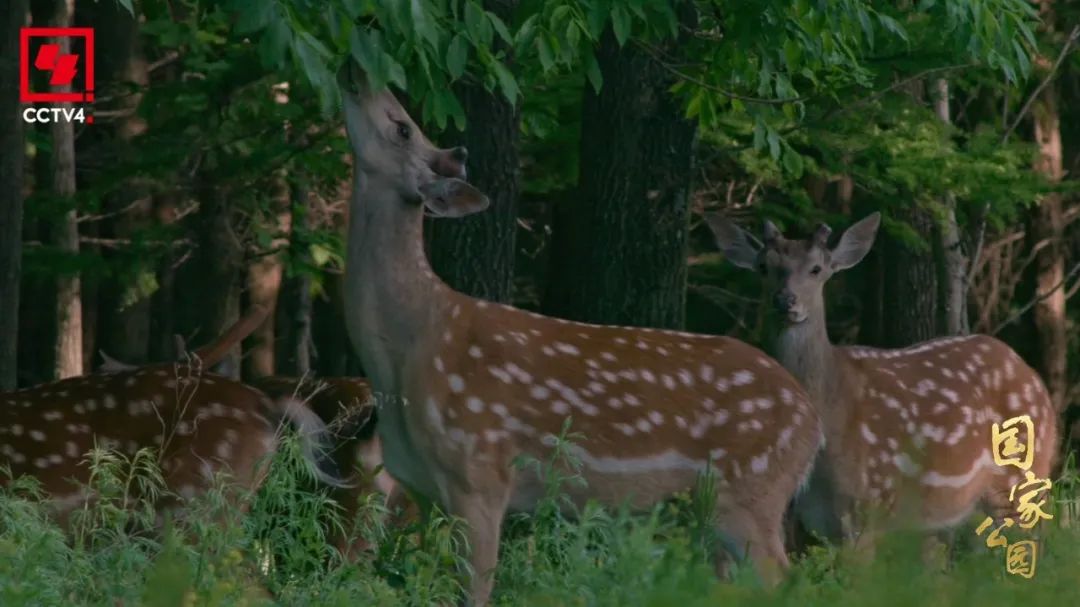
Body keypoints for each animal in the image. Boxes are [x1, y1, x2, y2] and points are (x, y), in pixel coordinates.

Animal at [339, 62, 825, 604]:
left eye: (402, 126)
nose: (356, 69)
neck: (408, 352)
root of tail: (811, 421)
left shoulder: (480, 473)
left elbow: (478, 589)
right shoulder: (422, 489)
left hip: (752, 490)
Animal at [708, 212, 1062, 552]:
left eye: (816, 269)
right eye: (764, 267)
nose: (785, 300)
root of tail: (1035, 379)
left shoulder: (869, 503)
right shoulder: (818, 519)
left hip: (1023, 474)